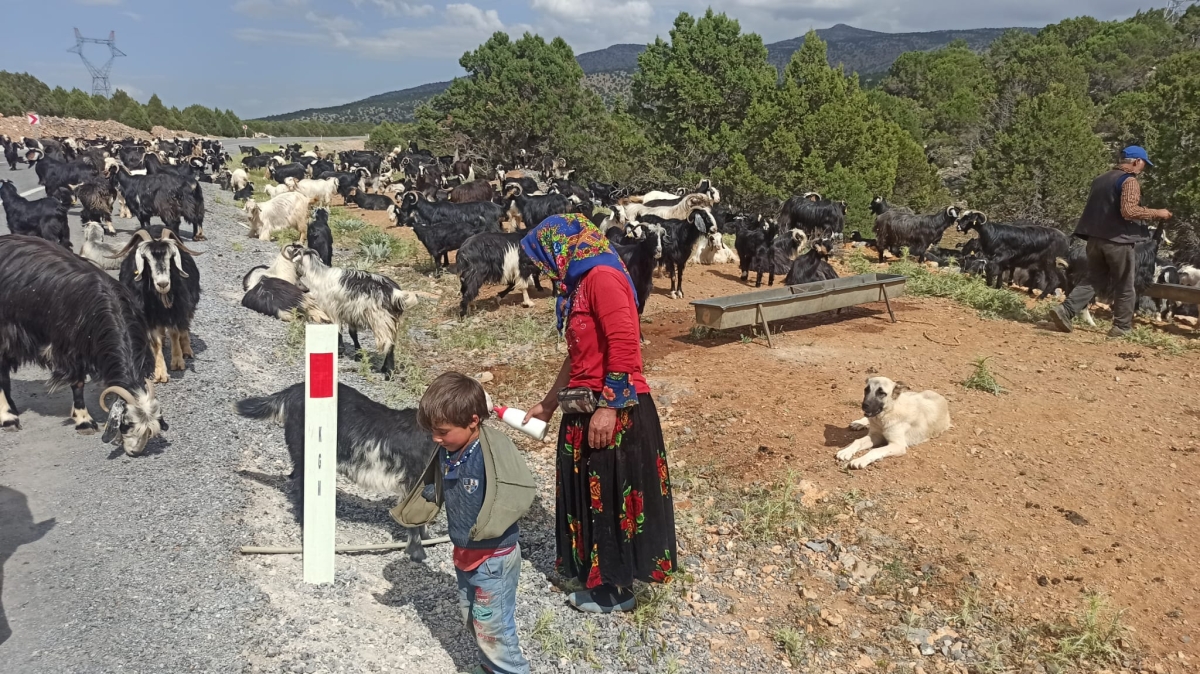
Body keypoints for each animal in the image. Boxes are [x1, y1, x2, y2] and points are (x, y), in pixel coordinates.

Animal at [0, 233, 165, 453]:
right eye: (126, 424)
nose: (134, 452)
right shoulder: (69, 351)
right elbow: (77, 383)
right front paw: (84, 421)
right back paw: (8, 417)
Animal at [115, 226, 200, 381]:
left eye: (170, 257)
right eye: (146, 259)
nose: (163, 284)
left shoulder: (176, 309)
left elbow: (175, 333)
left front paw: (178, 362)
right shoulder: (148, 316)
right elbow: (155, 342)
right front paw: (160, 373)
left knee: (184, 327)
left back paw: (187, 350)